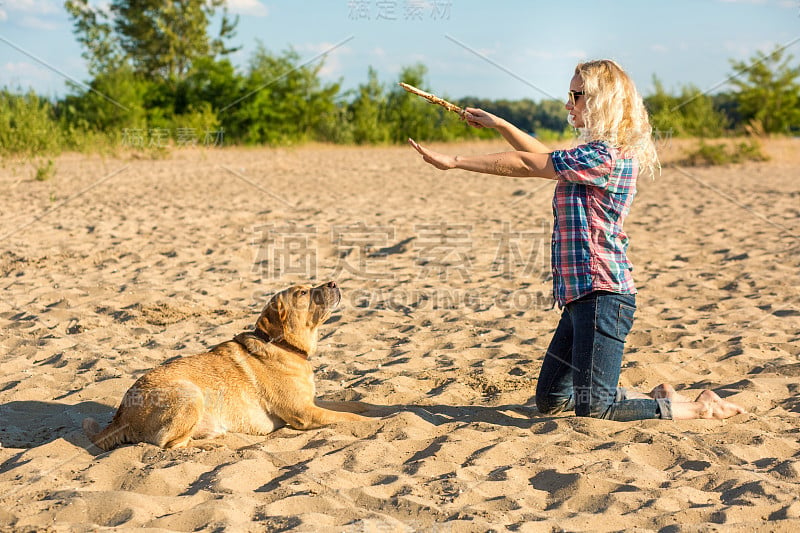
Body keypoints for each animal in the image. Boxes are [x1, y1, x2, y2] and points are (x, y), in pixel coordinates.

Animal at [81, 280, 368, 450]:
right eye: (302, 293)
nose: (333, 281)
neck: (285, 346)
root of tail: (121, 416)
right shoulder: (305, 413)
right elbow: (350, 418)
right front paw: (372, 423)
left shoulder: (312, 404)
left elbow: (355, 406)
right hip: (189, 393)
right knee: (169, 444)